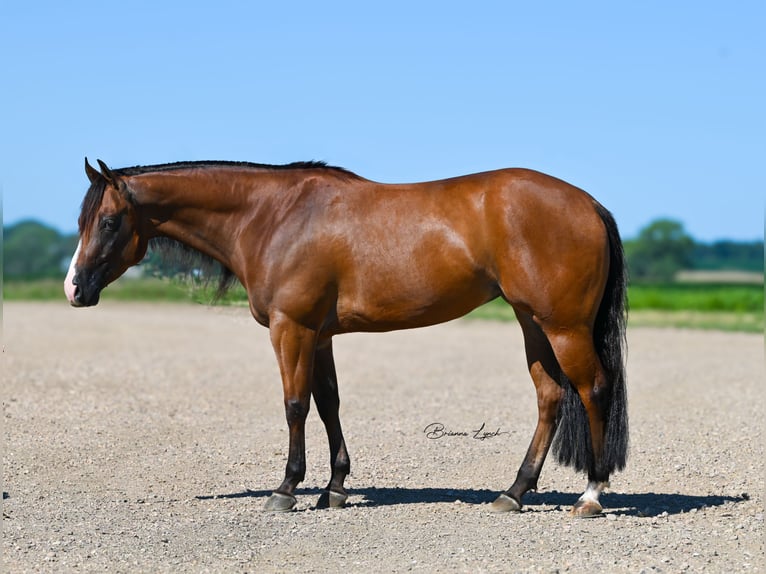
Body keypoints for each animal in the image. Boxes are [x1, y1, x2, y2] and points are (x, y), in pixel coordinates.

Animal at [64, 158, 632, 516]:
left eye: (109, 222)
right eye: (86, 220)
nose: (74, 288)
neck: (273, 216)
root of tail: (589, 204)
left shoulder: (291, 328)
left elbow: (294, 404)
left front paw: (286, 489)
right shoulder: (319, 335)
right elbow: (328, 403)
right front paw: (334, 488)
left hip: (562, 327)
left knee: (593, 389)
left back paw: (591, 495)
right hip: (532, 323)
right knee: (550, 397)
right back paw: (513, 493)